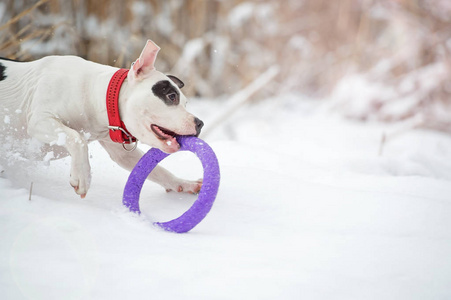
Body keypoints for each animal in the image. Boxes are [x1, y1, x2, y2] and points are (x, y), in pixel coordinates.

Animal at [0, 40, 204, 199]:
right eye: (171, 96)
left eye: (186, 103)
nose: (200, 123)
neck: (94, 92)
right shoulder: (40, 120)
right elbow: (77, 138)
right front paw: (82, 176)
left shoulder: (121, 152)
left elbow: (156, 170)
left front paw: (184, 183)